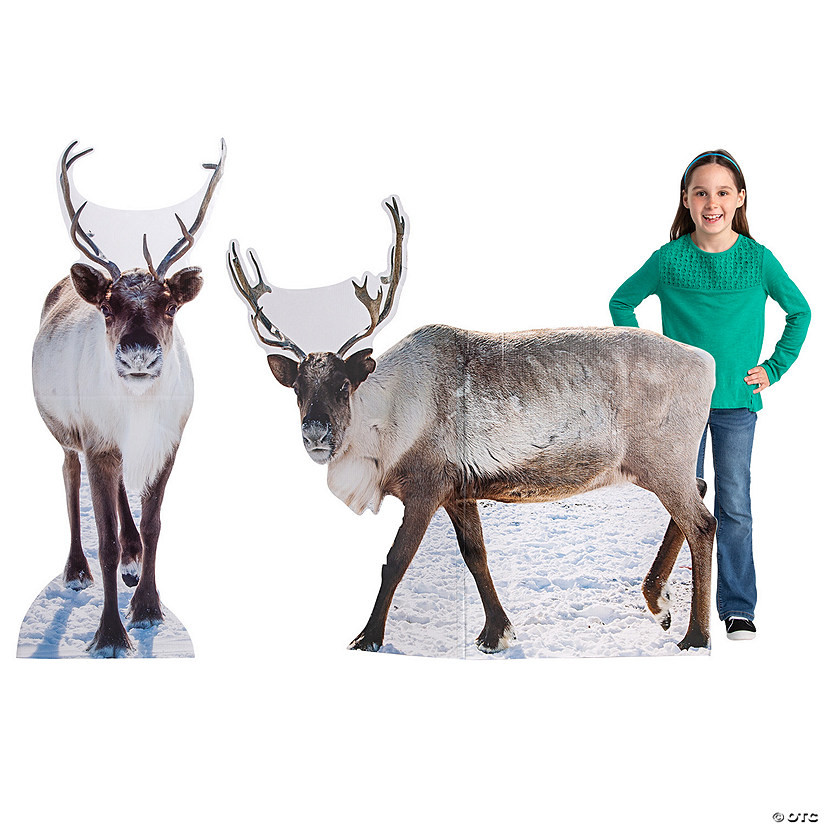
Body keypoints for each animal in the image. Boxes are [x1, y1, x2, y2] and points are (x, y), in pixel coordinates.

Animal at [32, 140, 225, 657]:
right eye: (107, 306)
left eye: (170, 304)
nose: (139, 350)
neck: (136, 411)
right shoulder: (98, 442)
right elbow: (105, 542)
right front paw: (110, 634)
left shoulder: (168, 443)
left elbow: (155, 525)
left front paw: (148, 606)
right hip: (67, 435)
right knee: (69, 476)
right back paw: (77, 569)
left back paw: (134, 559)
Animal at [227, 196, 717, 653]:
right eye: (297, 388)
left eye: (344, 385)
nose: (315, 432)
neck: (386, 423)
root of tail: (708, 361)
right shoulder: (460, 490)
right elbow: (475, 554)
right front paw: (496, 632)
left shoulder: (425, 485)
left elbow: (395, 560)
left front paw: (367, 637)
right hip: (663, 464)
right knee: (700, 490)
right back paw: (659, 604)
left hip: (661, 461)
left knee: (703, 524)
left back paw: (694, 634)